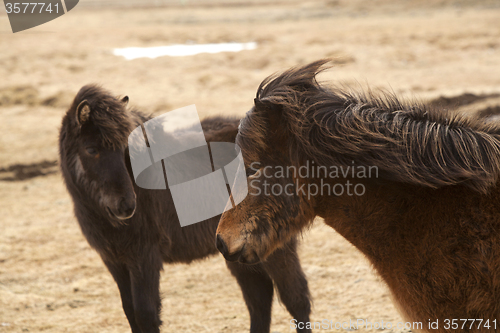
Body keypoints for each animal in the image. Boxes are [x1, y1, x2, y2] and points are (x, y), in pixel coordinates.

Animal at [59, 83, 312, 332]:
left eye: (125, 150)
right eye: (91, 149)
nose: (126, 206)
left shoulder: (144, 257)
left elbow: (145, 314)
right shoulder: (114, 261)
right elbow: (130, 312)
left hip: (274, 247)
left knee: (296, 299)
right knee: (259, 300)